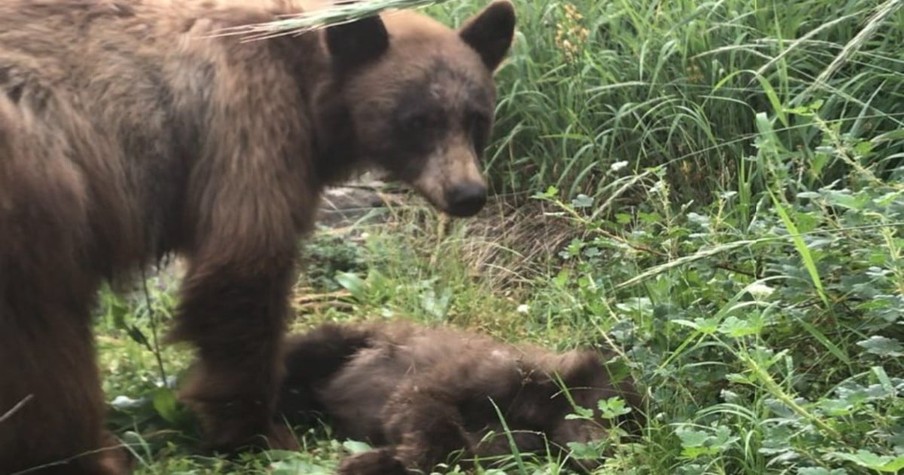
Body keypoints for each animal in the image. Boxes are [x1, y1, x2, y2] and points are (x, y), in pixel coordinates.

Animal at [0, 0, 516, 472]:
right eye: (418, 120)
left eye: (477, 117)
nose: (468, 194)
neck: (308, 78)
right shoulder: (250, 126)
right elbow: (243, 270)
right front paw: (257, 431)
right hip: (44, 194)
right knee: (46, 346)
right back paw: (86, 454)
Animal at [276, 322, 644, 474]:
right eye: (614, 412)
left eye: (629, 435)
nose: (606, 450)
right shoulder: (488, 373)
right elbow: (423, 405)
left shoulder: (512, 443)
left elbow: (461, 453)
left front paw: (376, 462)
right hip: (341, 342)